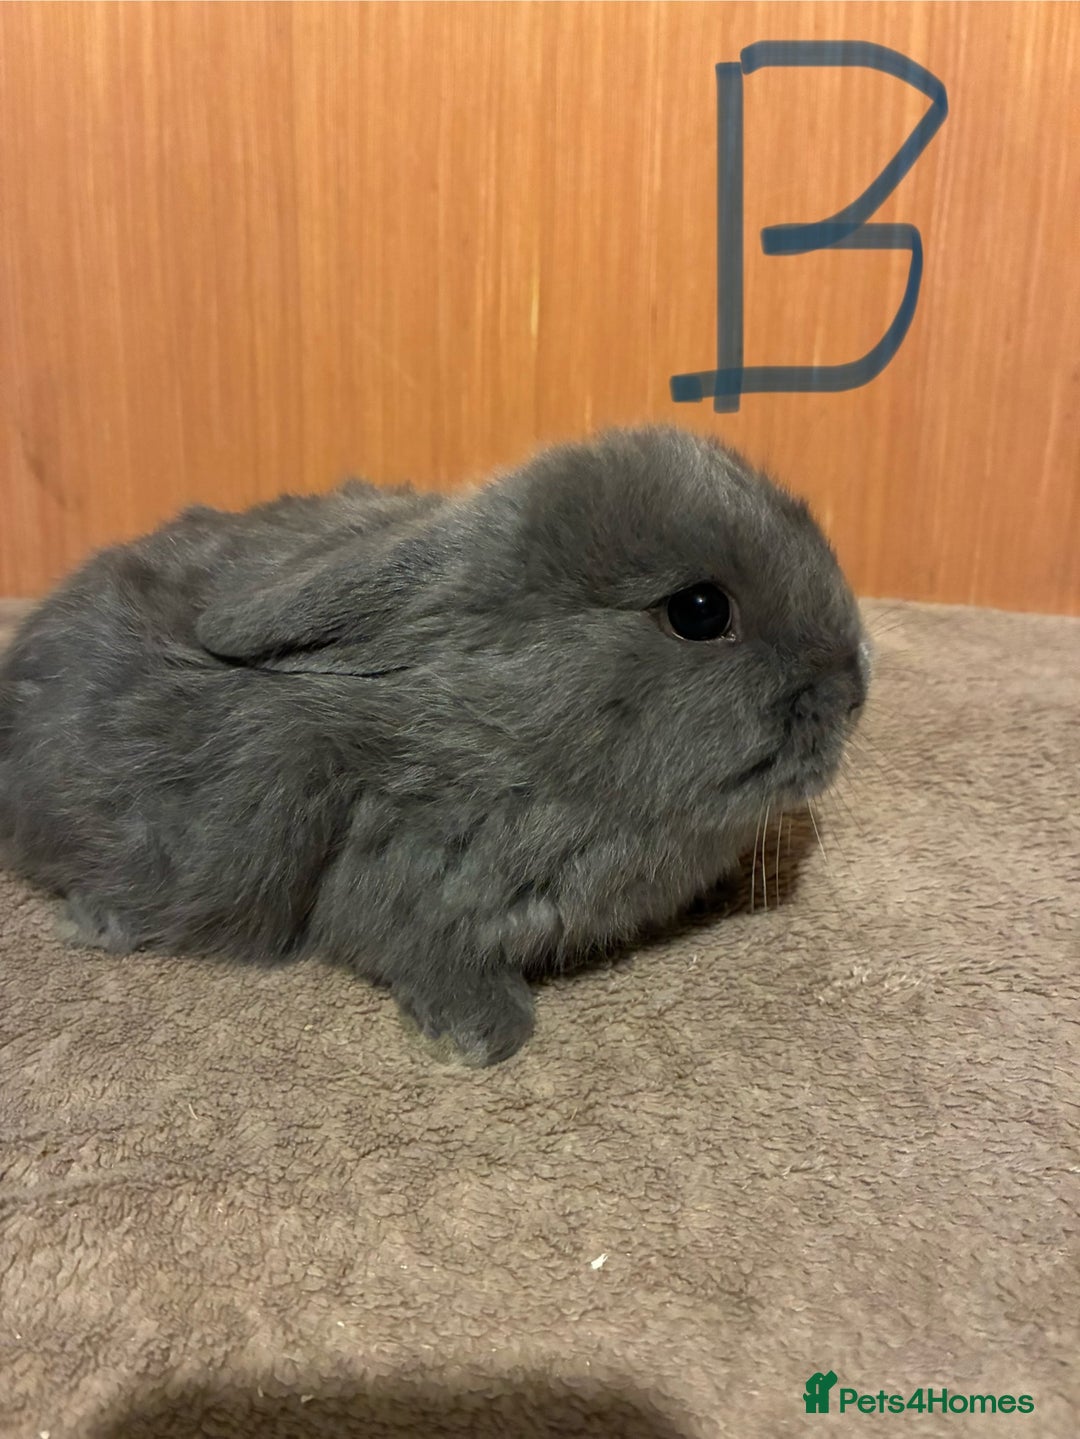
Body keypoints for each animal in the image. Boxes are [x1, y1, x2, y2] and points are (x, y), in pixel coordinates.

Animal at [0, 426, 869, 1065]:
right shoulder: (411, 892)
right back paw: (99, 921)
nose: (854, 687)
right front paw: (484, 1034)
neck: (512, 717)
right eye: (699, 610)